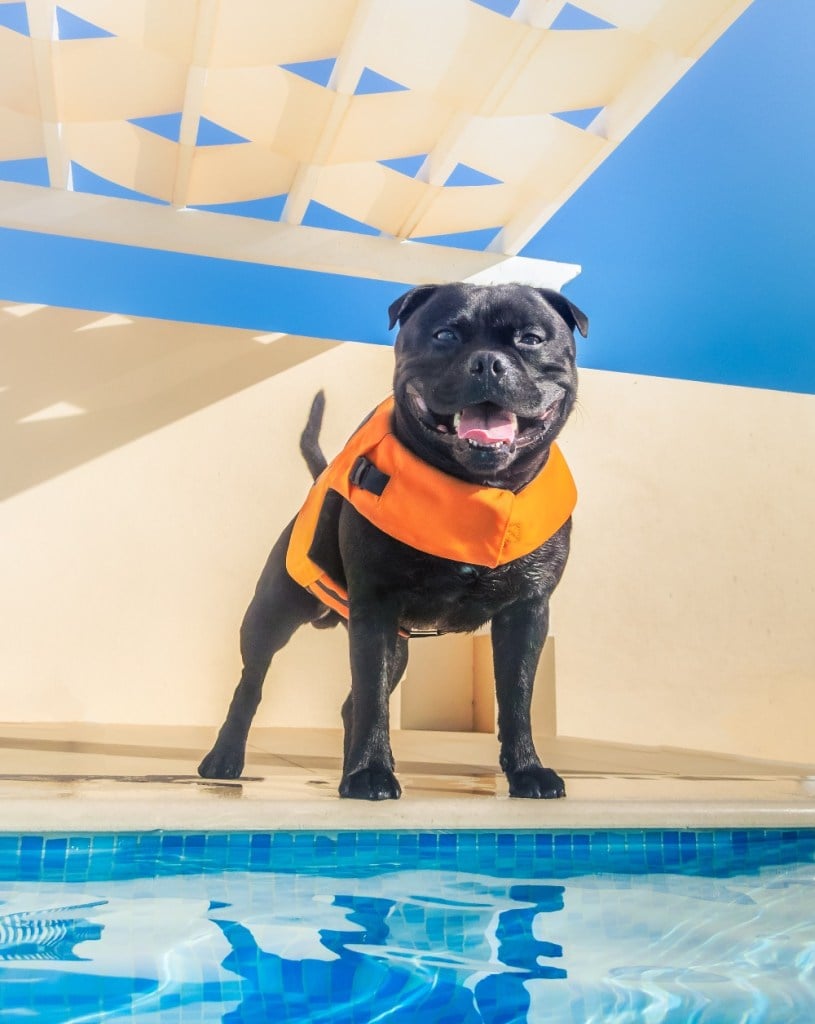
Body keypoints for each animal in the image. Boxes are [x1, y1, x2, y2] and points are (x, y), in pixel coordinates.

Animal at [200, 282, 589, 798]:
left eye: (530, 338)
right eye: (445, 335)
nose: (488, 362)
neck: (475, 488)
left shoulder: (526, 611)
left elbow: (517, 697)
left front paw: (527, 770)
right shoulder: (376, 606)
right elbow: (372, 699)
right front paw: (370, 773)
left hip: (396, 644)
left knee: (352, 702)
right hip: (272, 613)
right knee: (252, 683)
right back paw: (225, 757)